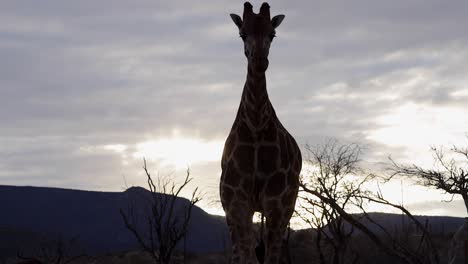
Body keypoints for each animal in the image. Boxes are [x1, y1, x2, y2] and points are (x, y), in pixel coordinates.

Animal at [220, 2, 304, 264]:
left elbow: (270, 257)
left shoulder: (276, 205)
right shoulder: (236, 205)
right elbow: (245, 257)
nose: (259, 61)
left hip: (287, 207)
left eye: (272, 34)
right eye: (242, 33)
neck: (256, 127)